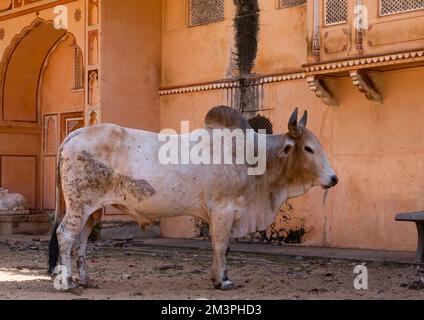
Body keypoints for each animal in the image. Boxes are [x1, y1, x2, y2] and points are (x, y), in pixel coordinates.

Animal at [48, 106, 338, 292]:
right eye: (308, 148)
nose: (333, 178)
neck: (253, 157)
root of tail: (76, 134)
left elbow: (219, 247)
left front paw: (216, 277)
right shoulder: (223, 210)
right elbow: (222, 246)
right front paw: (223, 281)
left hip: (92, 210)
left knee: (81, 241)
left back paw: (85, 280)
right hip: (78, 206)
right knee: (65, 235)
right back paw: (66, 283)